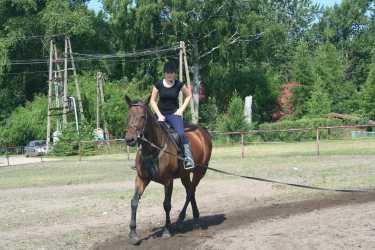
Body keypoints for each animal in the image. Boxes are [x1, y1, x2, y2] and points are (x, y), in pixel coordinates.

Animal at [123, 95, 212, 244]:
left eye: (142, 116)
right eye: (128, 116)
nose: (130, 139)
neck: (153, 149)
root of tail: (203, 132)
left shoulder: (168, 181)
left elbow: (167, 204)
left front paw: (166, 230)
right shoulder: (141, 178)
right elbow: (134, 202)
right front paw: (133, 233)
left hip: (200, 171)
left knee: (191, 191)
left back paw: (181, 218)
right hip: (184, 175)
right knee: (190, 190)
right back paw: (196, 219)